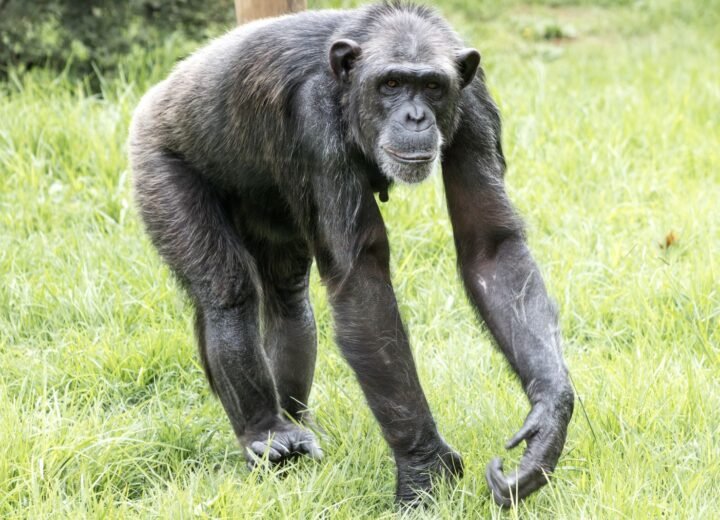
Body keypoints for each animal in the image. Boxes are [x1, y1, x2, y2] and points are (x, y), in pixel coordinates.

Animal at [129, 1, 574, 507]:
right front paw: (425, 468)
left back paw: (294, 422)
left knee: (287, 299)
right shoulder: (313, 121)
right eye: (392, 84)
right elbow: (362, 281)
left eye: (433, 87)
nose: (416, 117)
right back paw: (265, 433)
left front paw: (547, 424)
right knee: (227, 292)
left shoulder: (475, 105)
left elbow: (490, 246)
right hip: (157, 166)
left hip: (268, 210)